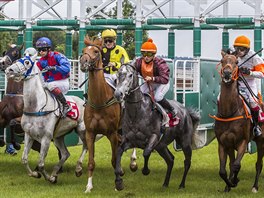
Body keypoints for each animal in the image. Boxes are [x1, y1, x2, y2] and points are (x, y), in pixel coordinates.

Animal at [5, 55, 87, 183]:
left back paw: (78, 169)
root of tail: (83, 102)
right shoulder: (28, 135)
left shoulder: (46, 138)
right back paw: (55, 173)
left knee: (86, 146)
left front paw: (48, 177)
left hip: (81, 129)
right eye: (17, 60)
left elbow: (41, 164)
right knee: (65, 154)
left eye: (27, 62)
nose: (9, 70)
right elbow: (24, 159)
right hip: (58, 136)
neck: (36, 106)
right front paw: (36, 174)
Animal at [113, 62, 200, 191]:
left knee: (187, 162)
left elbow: (146, 152)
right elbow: (119, 151)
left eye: (130, 75)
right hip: (161, 146)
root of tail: (185, 111)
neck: (137, 112)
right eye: (117, 75)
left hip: (184, 141)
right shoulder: (129, 140)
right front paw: (119, 179)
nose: (118, 94)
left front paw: (145, 170)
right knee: (170, 160)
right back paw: (165, 183)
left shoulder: (154, 137)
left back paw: (181, 184)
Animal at [212, 51, 264, 192]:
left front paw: (234, 181)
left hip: (261, 141)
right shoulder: (224, 143)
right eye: (222, 60)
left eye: (236, 62)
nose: (227, 73)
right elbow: (224, 170)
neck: (228, 113)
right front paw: (228, 185)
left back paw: (255, 186)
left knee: (258, 164)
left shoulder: (242, 142)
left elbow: (236, 165)